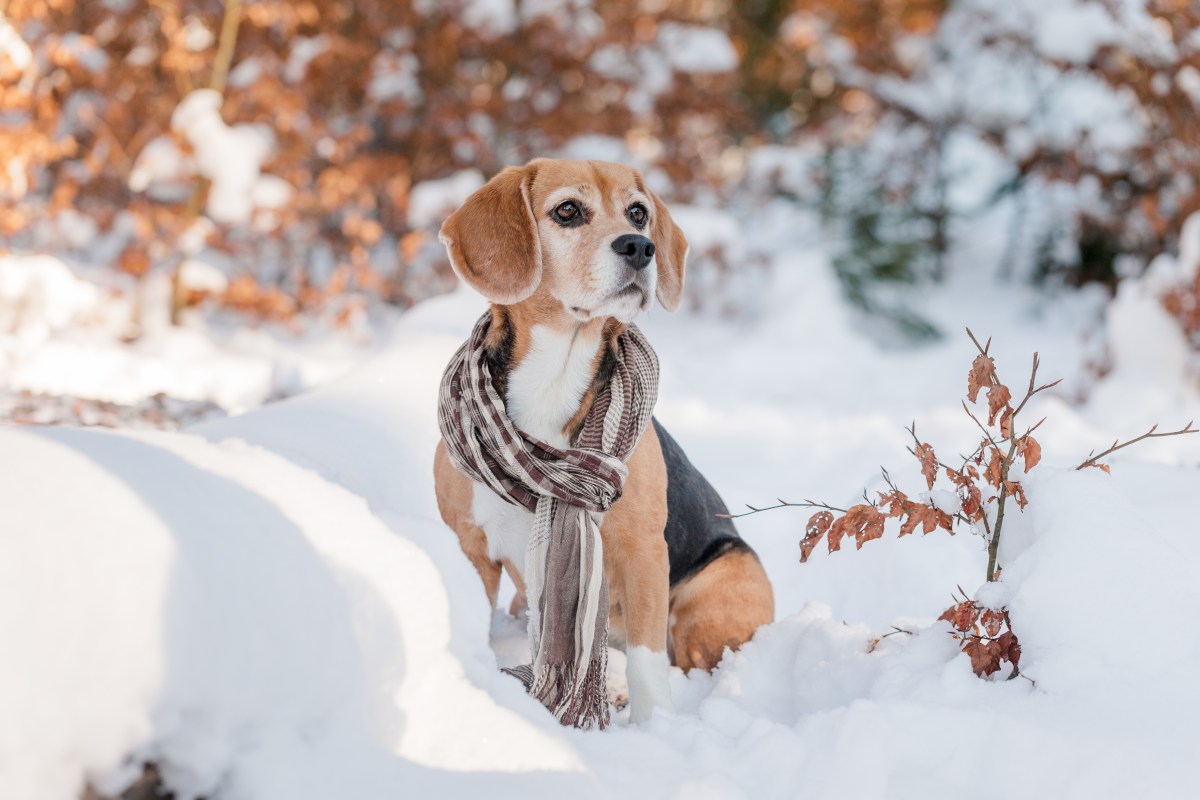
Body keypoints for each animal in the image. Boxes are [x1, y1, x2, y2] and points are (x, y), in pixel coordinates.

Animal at [436, 158, 772, 724]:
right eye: (567, 211)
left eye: (637, 213)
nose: (640, 246)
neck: (555, 376)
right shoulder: (471, 548)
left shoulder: (643, 551)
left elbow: (647, 661)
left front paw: (655, 727)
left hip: (711, 594)